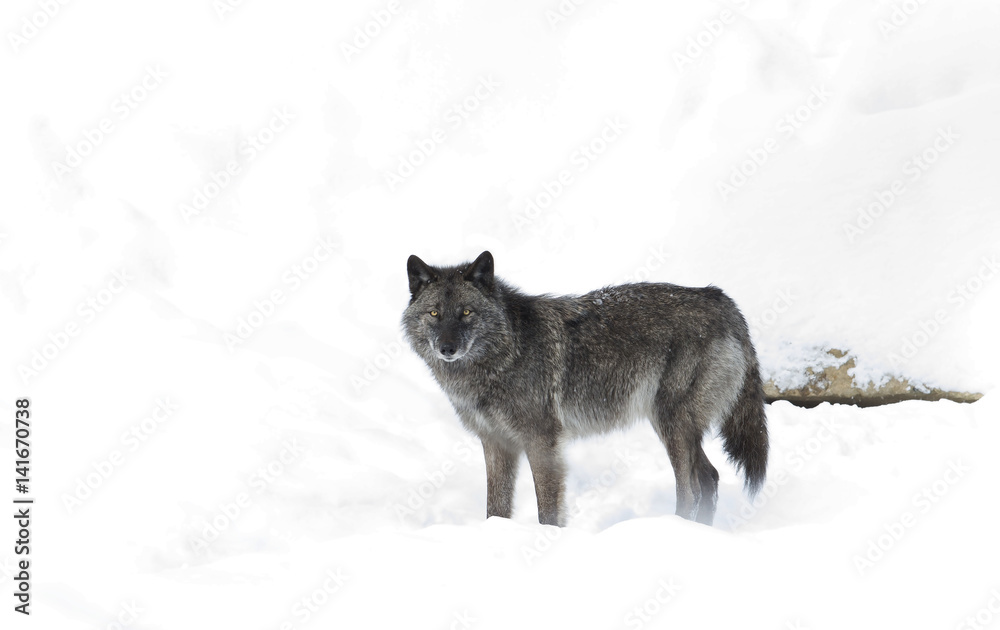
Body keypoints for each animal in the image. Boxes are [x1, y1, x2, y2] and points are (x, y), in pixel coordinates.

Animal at [402, 251, 768, 526]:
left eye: (466, 312)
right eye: (434, 313)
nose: (447, 349)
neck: (505, 354)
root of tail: (719, 297)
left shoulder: (542, 441)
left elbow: (548, 509)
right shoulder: (496, 443)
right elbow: (496, 509)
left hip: (671, 424)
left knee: (691, 489)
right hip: (675, 426)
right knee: (710, 478)